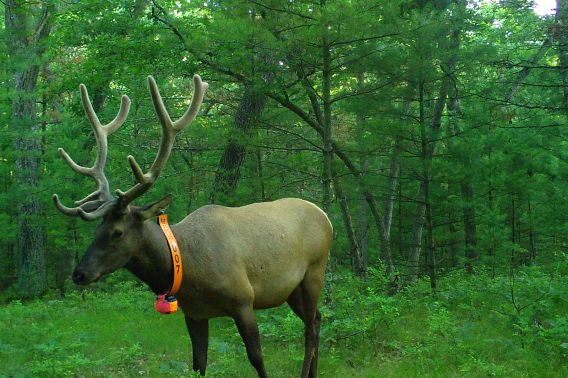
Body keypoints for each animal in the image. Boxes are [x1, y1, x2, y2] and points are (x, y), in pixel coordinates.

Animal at [53, 74, 332, 378]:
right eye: (97, 230)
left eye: (117, 232)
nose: (79, 274)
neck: (188, 270)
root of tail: (326, 216)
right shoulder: (195, 313)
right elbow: (198, 364)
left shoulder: (243, 301)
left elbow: (257, 358)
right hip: (291, 289)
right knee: (317, 319)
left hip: (314, 272)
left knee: (310, 328)